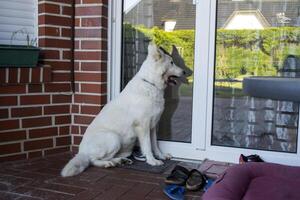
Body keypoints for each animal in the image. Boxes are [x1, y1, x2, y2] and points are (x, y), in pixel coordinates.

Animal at [60, 43, 184, 177]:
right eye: (171, 63)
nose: (185, 71)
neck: (151, 84)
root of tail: (82, 151)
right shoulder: (143, 126)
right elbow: (148, 146)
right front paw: (152, 161)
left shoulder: (153, 126)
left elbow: (155, 144)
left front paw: (160, 156)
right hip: (113, 138)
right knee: (93, 160)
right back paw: (108, 163)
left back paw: (121, 160)